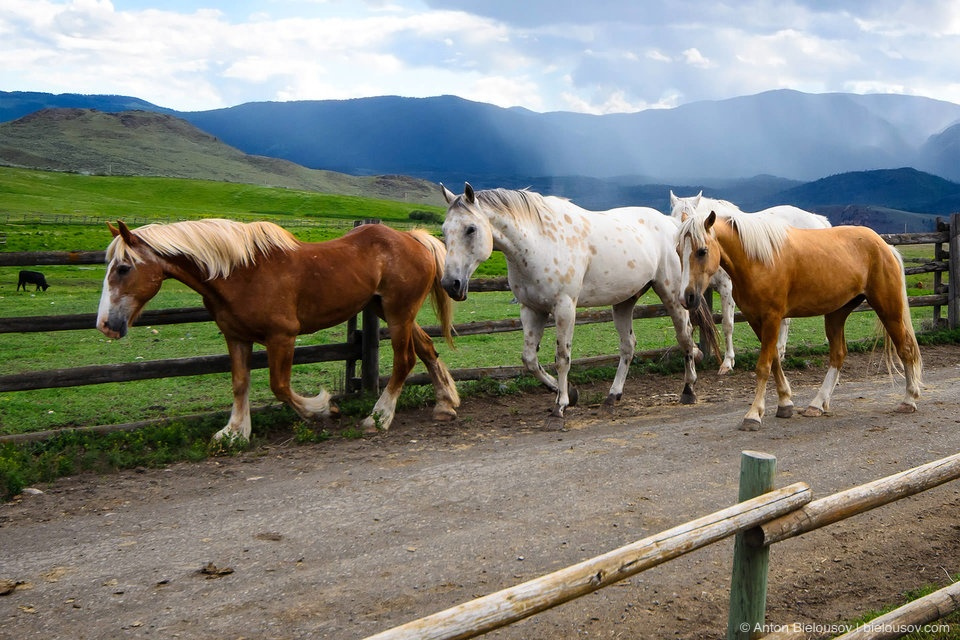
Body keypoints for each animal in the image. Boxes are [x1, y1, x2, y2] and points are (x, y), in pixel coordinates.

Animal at [97, 220, 462, 440]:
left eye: (123, 268)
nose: (106, 325)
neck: (240, 272)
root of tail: (413, 238)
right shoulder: (236, 337)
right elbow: (240, 384)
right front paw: (234, 432)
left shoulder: (281, 337)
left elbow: (280, 387)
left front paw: (322, 408)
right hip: (386, 310)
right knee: (427, 348)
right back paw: (445, 403)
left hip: (399, 314)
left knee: (405, 361)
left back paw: (380, 417)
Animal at [438, 182, 716, 418]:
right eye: (444, 230)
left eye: (470, 228)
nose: (451, 284)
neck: (539, 241)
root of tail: (673, 225)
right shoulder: (531, 310)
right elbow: (530, 359)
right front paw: (568, 393)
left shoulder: (564, 308)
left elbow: (562, 357)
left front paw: (560, 407)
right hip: (624, 302)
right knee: (628, 346)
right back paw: (612, 396)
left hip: (672, 296)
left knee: (685, 337)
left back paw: (688, 390)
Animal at [668, 192, 832, 378]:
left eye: (702, 248)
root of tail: (817, 219)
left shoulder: (727, 288)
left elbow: (727, 324)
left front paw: (728, 362)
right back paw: (780, 351)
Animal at [676, 212, 924, 432]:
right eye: (678, 250)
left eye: (702, 251)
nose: (687, 297)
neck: (758, 260)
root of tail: (884, 246)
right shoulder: (757, 320)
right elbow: (775, 360)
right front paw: (785, 403)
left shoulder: (772, 318)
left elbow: (764, 366)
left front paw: (754, 414)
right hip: (836, 314)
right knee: (838, 355)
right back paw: (817, 404)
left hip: (888, 310)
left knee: (905, 349)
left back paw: (909, 399)